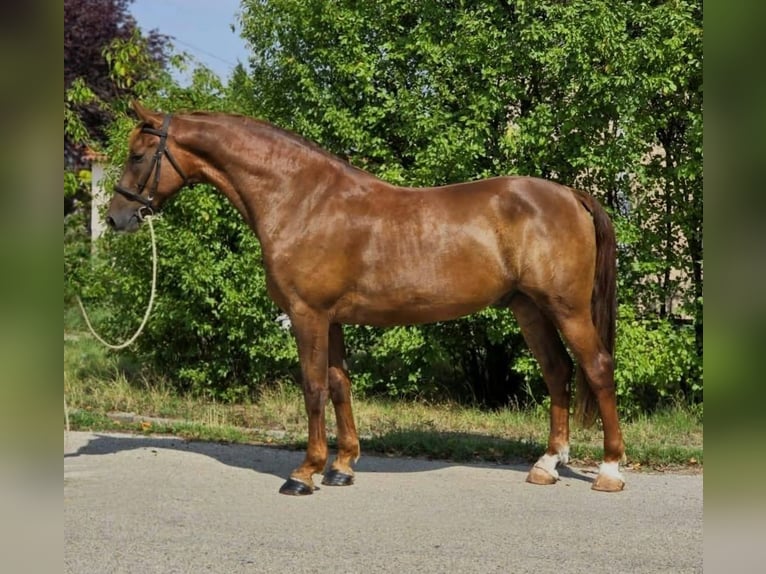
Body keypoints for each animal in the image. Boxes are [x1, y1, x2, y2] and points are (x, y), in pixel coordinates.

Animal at [107, 101, 626, 494]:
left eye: (138, 155)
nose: (115, 217)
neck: (302, 199)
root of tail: (571, 195)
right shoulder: (331, 318)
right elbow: (340, 385)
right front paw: (341, 467)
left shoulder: (307, 315)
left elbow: (314, 387)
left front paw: (305, 473)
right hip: (529, 308)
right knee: (557, 373)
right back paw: (547, 466)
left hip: (567, 308)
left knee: (597, 368)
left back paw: (609, 470)